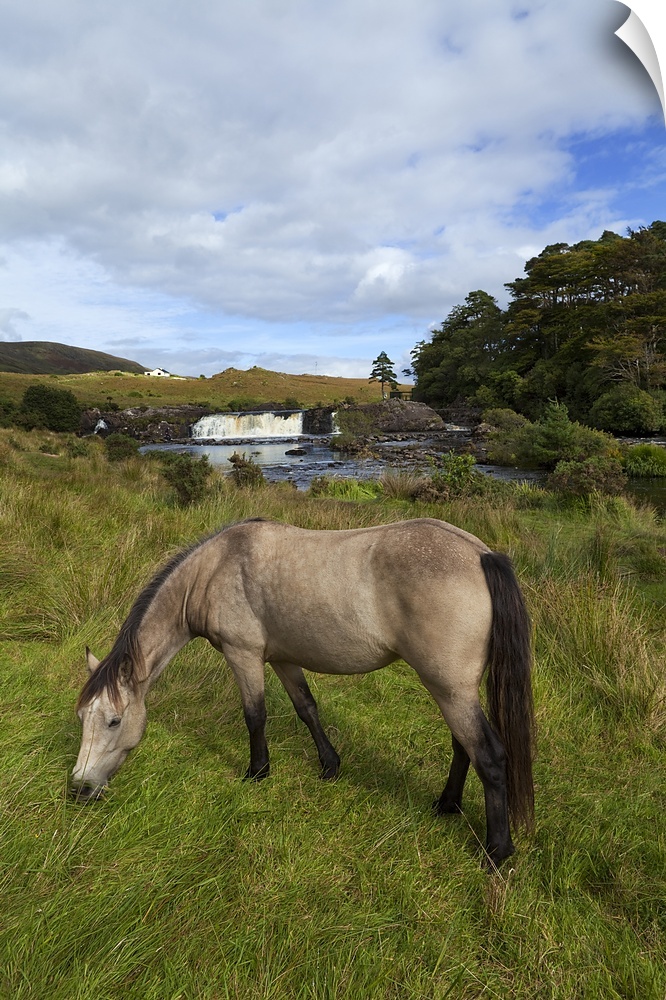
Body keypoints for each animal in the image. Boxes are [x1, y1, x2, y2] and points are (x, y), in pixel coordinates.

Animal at [72, 517, 535, 866]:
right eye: (82, 718)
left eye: (113, 720)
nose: (79, 789)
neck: (216, 567)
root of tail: (479, 554)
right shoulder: (282, 659)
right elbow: (306, 708)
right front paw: (330, 766)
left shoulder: (243, 655)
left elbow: (254, 714)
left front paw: (257, 771)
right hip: (455, 691)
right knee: (463, 745)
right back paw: (447, 805)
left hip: (450, 689)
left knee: (488, 755)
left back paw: (497, 851)